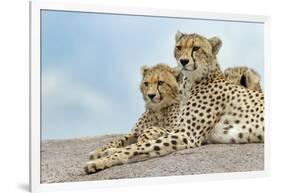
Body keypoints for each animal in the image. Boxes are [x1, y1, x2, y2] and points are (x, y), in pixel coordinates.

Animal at [83, 31, 262, 173]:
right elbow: (135, 142)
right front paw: (104, 152)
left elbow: (139, 145)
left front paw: (101, 161)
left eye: (196, 48)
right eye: (179, 47)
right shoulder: (179, 131)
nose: (183, 61)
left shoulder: (186, 134)